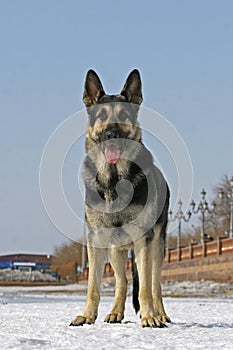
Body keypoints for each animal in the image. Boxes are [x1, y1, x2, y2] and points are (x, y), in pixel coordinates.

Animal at [69, 69, 171, 328]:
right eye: (101, 115)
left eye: (124, 114)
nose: (111, 134)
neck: (114, 180)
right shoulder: (97, 239)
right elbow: (93, 286)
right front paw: (87, 315)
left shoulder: (144, 240)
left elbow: (144, 288)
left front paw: (149, 317)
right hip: (116, 249)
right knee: (122, 282)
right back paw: (115, 312)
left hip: (157, 246)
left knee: (153, 283)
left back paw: (159, 313)